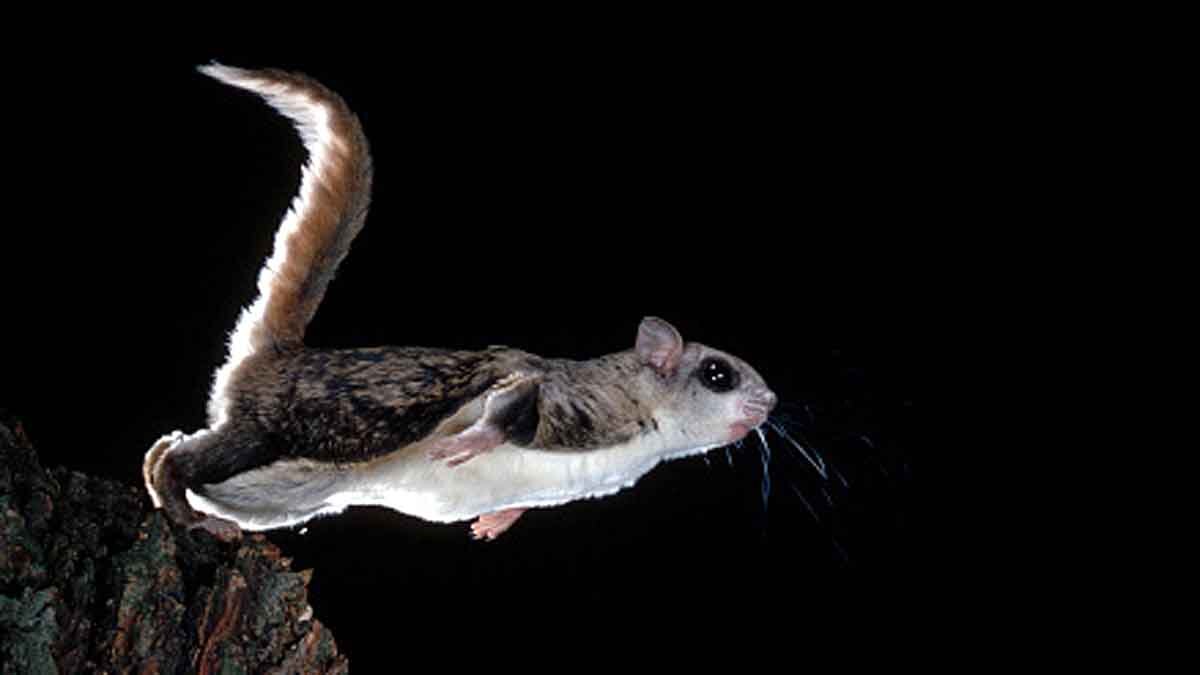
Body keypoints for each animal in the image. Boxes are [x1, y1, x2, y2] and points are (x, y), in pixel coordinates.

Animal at [143, 64, 777, 542]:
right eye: (718, 373)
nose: (770, 402)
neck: (648, 431)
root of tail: (276, 356)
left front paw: (497, 519)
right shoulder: (580, 401)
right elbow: (514, 396)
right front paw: (473, 441)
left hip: (288, 486)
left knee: (173, 457)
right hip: (281, 431)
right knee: (177, 460)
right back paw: (188, 517)